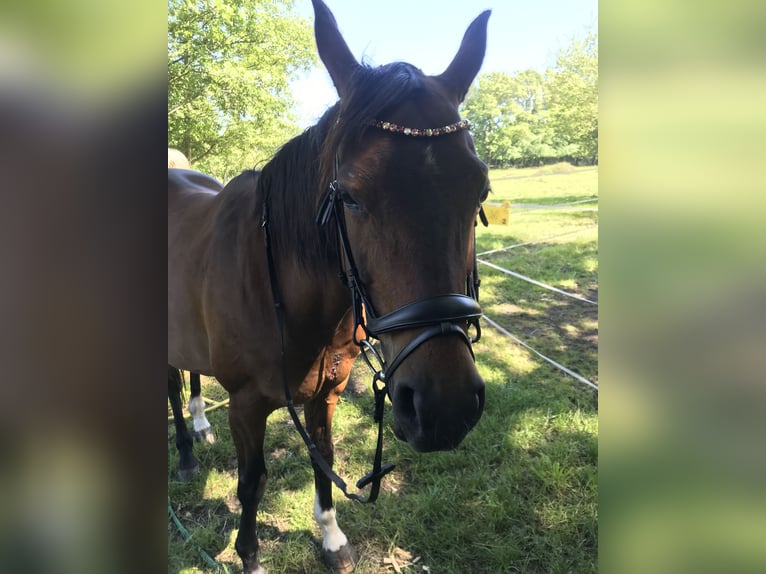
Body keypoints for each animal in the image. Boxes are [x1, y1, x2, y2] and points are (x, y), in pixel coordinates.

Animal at [168, 2, 492, 572]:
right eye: (352, 197)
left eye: (480, 190)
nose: (444, 407)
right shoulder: (247, 406)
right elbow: (251, 484)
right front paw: (250, 556)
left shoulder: (328, 391)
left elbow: (324, 460)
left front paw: (332, 539)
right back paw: (186, 452)